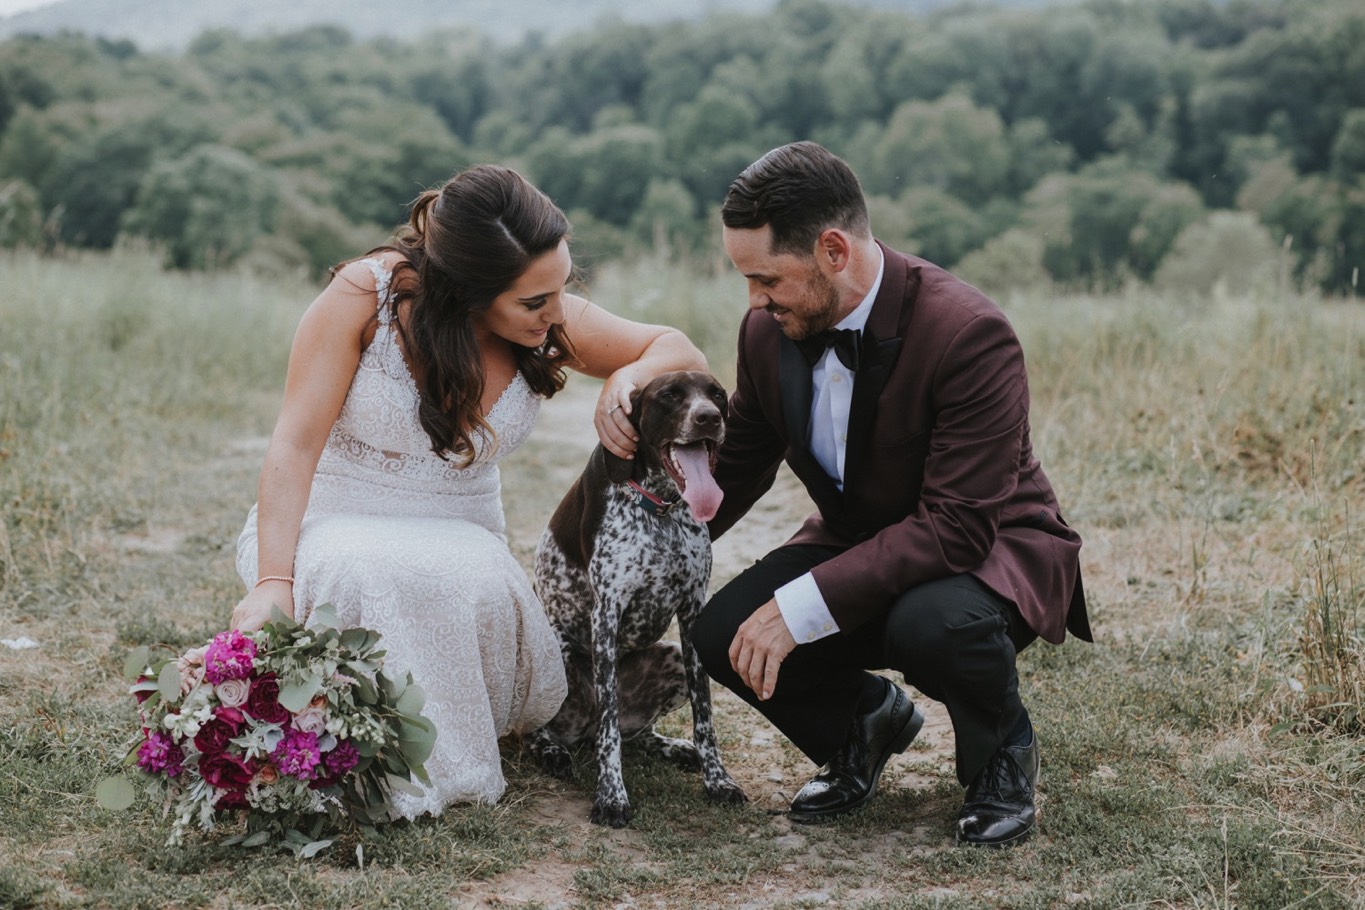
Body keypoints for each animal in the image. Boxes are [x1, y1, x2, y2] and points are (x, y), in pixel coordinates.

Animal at [529, 368, 748, 824]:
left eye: (717, 394)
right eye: (670, 396)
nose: (709, 418)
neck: (660, 507)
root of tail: (581, 729)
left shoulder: (692, 613)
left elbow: (705, 716)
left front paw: (717, 779)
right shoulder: (606, 614)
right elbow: (610, 729)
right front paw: (611, 796)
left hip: (673, 659)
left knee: (634, 734)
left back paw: (672, 747)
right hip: (557, 656)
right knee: (559, 730)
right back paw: (552, 750)